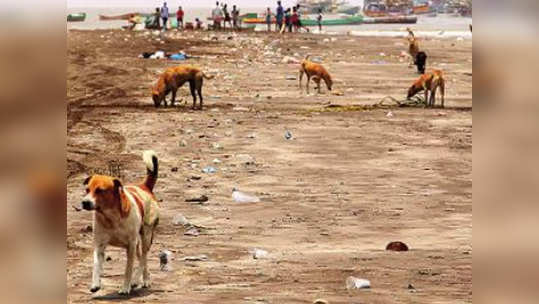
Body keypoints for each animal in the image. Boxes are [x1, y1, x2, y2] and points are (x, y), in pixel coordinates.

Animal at [80, 151, 160, 296]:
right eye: (87, 190)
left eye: (100, 190)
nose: (85, 202)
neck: (111, 217)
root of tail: (145, 187)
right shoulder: (99, 244)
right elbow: (96, 264)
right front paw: (95, 284)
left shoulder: (130, 245)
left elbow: (128, 269)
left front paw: (126, 286)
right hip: (138, 243)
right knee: (142, 258)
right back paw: (144, 279)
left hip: (146, 235)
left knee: (144, 257)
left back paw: (137, 280)